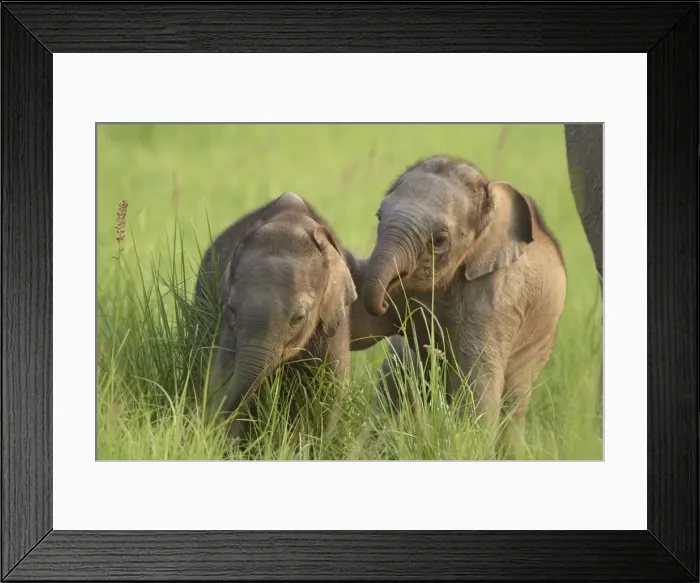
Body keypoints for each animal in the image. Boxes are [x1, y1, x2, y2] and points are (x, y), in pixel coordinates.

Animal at [193, 191, 357, 441]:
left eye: (299, 318)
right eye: (231, 309)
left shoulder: (333, 326)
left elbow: (329, 395)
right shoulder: (229, 332)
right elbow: (223, 378)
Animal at [344, 155, 567, 458]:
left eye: (439, 240)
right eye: (379, 217)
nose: (382, 302)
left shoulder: (497, 299)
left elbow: (479, 384)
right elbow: (358, 328)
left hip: (538, 343)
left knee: (514, 403)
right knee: (397, 374)